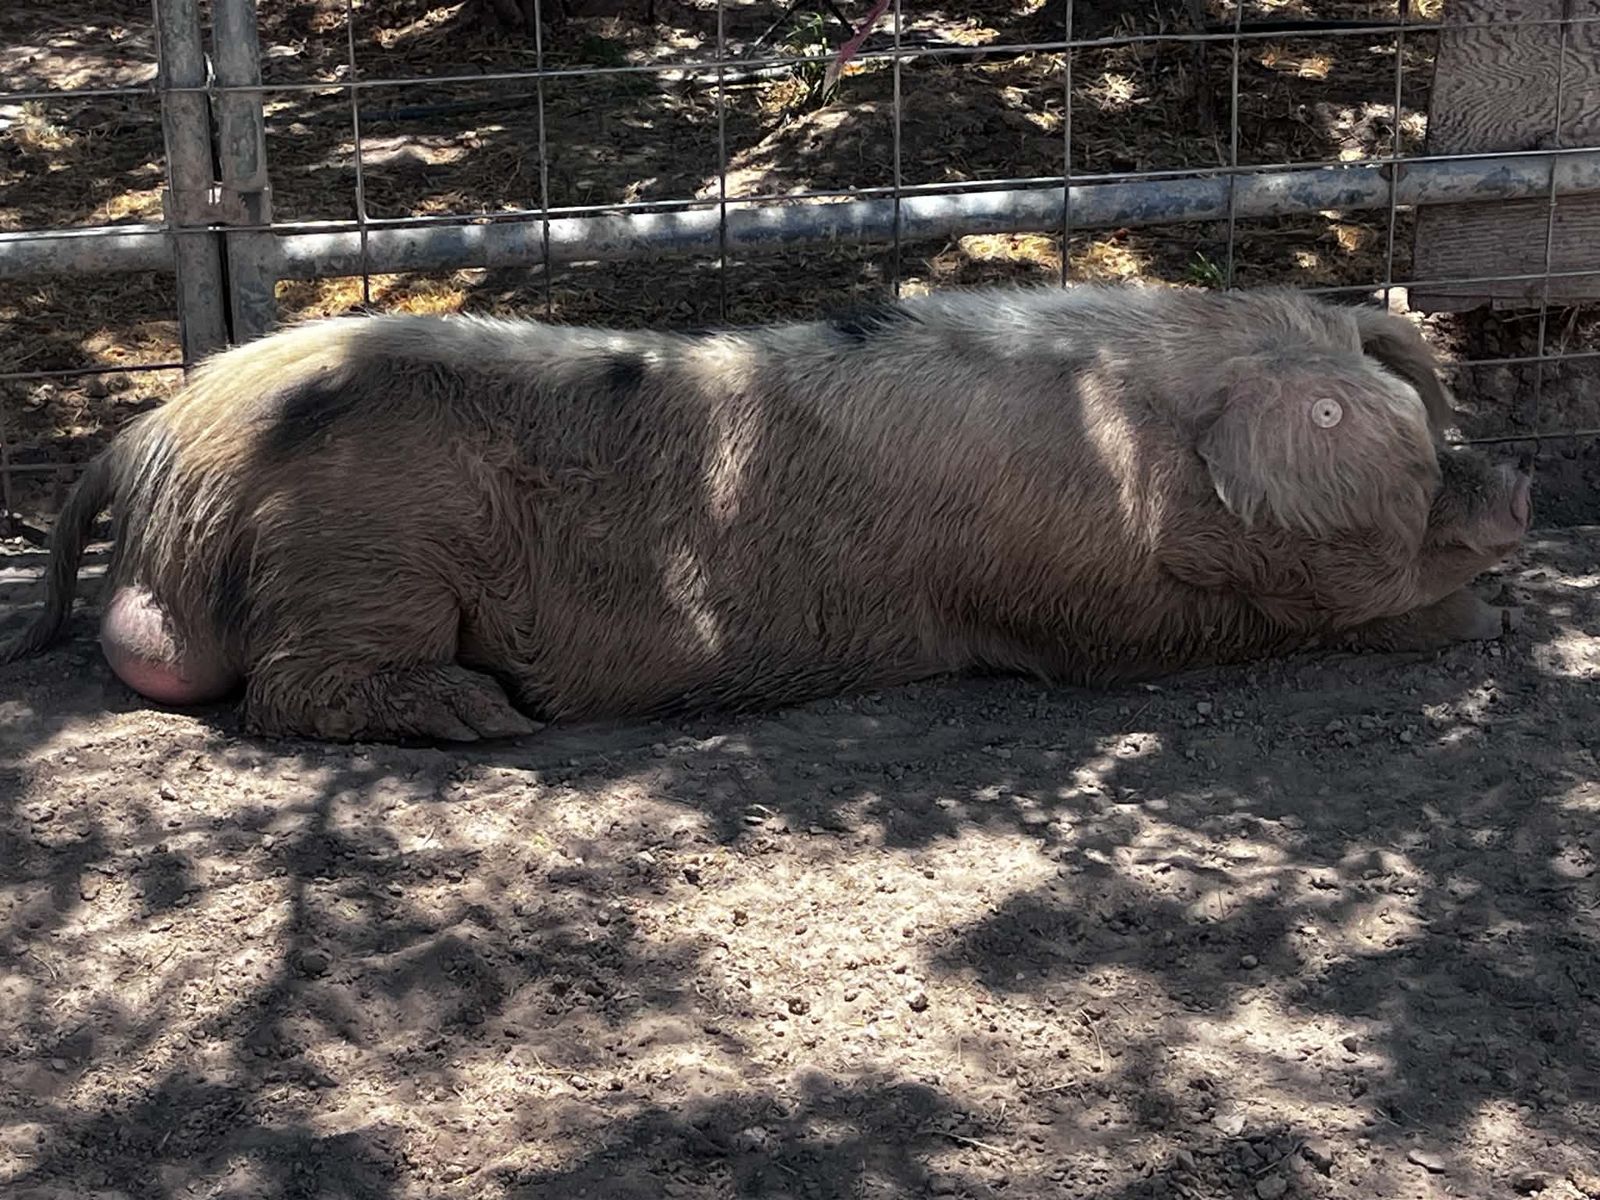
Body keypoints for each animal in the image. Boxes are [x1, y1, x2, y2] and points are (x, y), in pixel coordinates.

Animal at [0, 283, 1531, 743]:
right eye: (1411, 442)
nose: (1514, 473)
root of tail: (154, 432)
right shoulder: (1090, 611)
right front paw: (1476, 620)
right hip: (364, 540)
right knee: (292, 691)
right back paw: (488, 718)